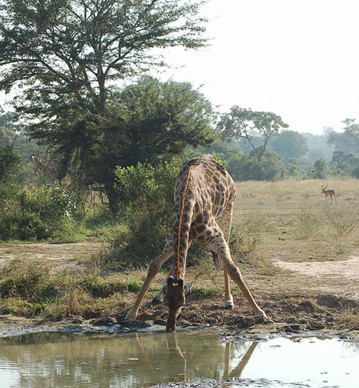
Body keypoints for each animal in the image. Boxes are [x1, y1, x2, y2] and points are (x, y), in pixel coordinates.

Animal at [126, 153, 270, 332]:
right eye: (167, 303)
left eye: (183, 303)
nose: (170, 328)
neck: (187, 201)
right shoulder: (175, 237)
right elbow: (155, 265)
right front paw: (132, 312)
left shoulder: (215, 236)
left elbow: (233, 269)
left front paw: (260, 313)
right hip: (189, 237)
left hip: (228, 210)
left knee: (227, 252)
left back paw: (228, 300)